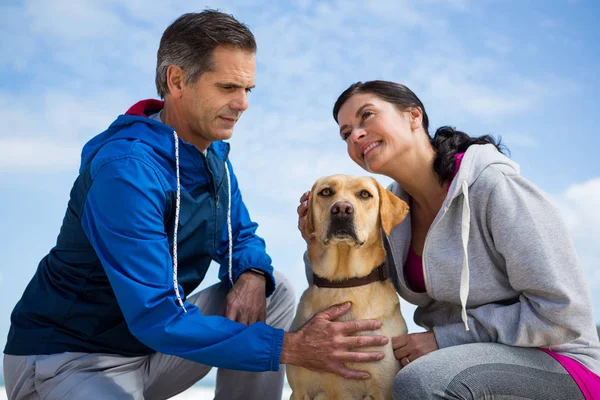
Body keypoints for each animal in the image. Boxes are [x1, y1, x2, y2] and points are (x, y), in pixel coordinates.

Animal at [288, 175, 410, 400]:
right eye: (326, 192)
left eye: (365, 194)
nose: (342, 209)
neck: (343, 283)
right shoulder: (299, 391)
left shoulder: (383, 389)